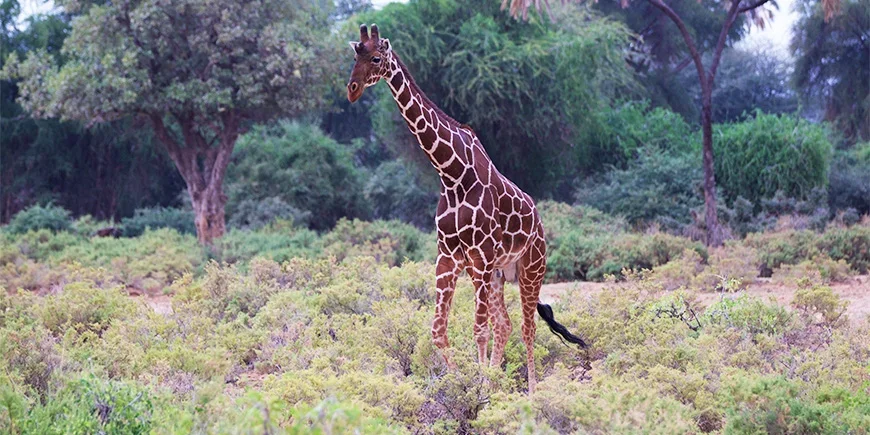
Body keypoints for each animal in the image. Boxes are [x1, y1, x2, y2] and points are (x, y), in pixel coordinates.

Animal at [346, 24, 586, 394]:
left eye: (375, 58)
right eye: (353, 56)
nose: (352, 90)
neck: (451, 173)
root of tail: (541, 223)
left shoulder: (480, 256)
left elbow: (479, 329)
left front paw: (482, 389)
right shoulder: (449, 257)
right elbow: (438, 331)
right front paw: (466, 383)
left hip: (531, 269)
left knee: (526, 327)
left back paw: (531, 392)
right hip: (499, 273)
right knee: (505, 323)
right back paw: (499, 381)